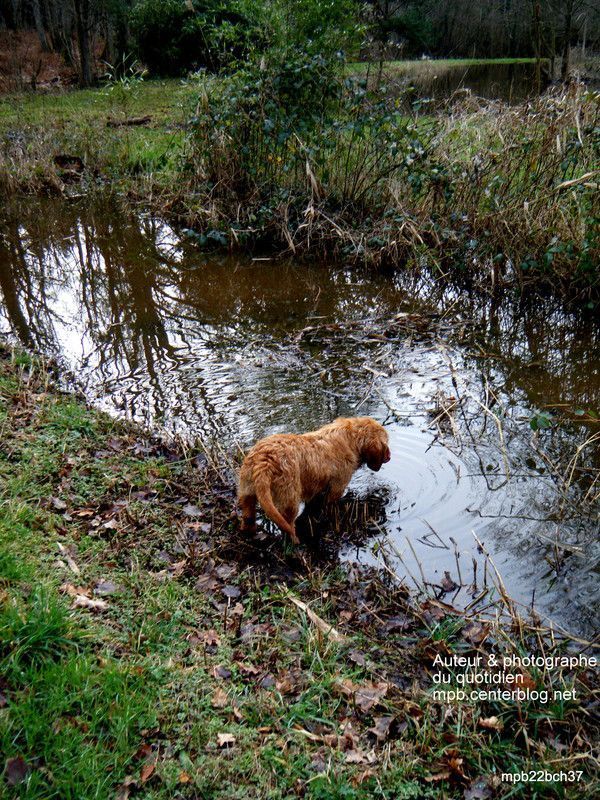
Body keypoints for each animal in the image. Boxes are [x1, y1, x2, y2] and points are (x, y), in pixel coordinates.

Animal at [237, 418, 392, 544]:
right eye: (386, 443)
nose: (390, 457)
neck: (351, 439)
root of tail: (264, 461)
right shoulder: (338, 486)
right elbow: (330, 503)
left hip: (247, 492)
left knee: (248, 516)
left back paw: (249, 532)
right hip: (289, 500)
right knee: (288, 524)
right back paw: (296, 543)